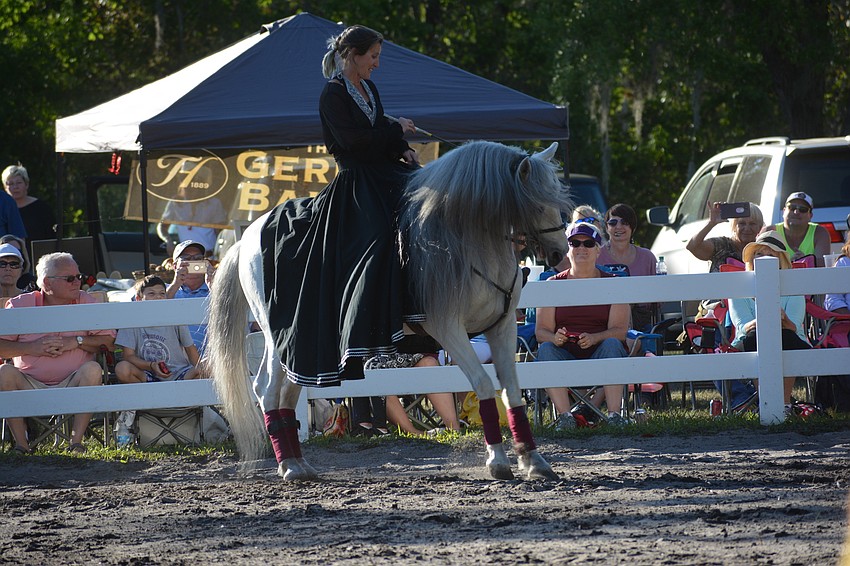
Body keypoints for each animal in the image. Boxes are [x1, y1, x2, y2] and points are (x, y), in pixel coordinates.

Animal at [206, 140, 569, 481]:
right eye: (537, 203)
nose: (559, 254)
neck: (466, 243)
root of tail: (247, 238)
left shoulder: (503, 326)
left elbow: (512, 389)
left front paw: (533, 461)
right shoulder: (448, 329)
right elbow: (482, 384)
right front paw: (497, 461)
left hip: (303, 349)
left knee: (285, 390)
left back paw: (298, 463)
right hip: (278, 336)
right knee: (266, 389)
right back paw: (289, 467)